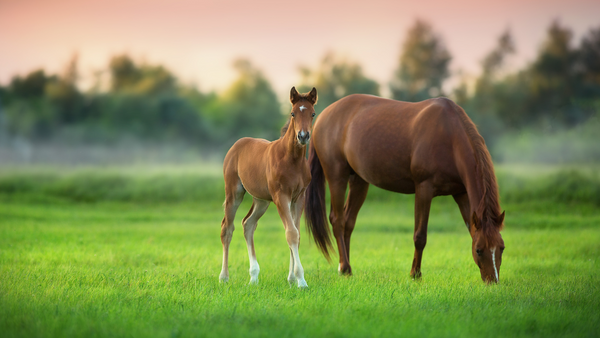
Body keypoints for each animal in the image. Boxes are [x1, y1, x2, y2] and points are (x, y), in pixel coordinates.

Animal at [219, 87, 318, 288]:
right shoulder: (281, 197)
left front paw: (292, 279)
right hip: (234, 192)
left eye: (312, 113)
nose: (303, 136)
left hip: (261, 200)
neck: (292, 160)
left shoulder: (298, 198)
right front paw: (301, 280)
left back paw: (254, 277)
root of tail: (237, 144)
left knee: (248, 224)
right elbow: (291, 233)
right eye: (293, 113)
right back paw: (224, 277)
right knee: (227, 228)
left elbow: (296, 234)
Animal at [304, 94, 506, 282]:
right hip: (337, 176)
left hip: (359, 181)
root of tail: (322, 116)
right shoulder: (424, 189)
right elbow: (420, 236)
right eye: (479, 250)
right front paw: (415, 274)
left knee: (348, 221)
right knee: (337, 220)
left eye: (502, 248)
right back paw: (344, 267)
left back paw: (346, 268)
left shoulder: (461, 193)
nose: (492, 281)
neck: (449, 136)